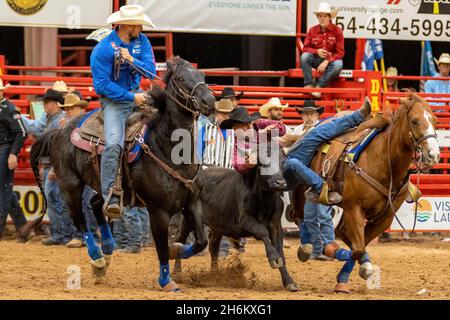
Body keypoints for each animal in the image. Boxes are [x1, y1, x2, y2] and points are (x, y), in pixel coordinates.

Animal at [29, 57, 216, 292]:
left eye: (202, 76)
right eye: (182, 78)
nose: (209, 101)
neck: (168, 148)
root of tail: (58, 131)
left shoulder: (192, 203)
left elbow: (201, 242)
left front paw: (177, 249)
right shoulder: (158, 212)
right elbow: (162, 249)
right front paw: (167, 281)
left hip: (109, 187)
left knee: (96, 204)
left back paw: (108, 249)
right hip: (70, 185)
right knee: (79, 218)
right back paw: (98, 260)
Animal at [288, 92, 440, 292]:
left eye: (435, 121)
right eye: (415, 121)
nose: (433, 155)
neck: (385, 164)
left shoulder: (384, 219)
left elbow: (359, 245)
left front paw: (343, 278)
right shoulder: (355, 208)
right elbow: (358, 248)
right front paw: (363, 267)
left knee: (339, 230)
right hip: (300, 184)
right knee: (298, 214)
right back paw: (307, 247)